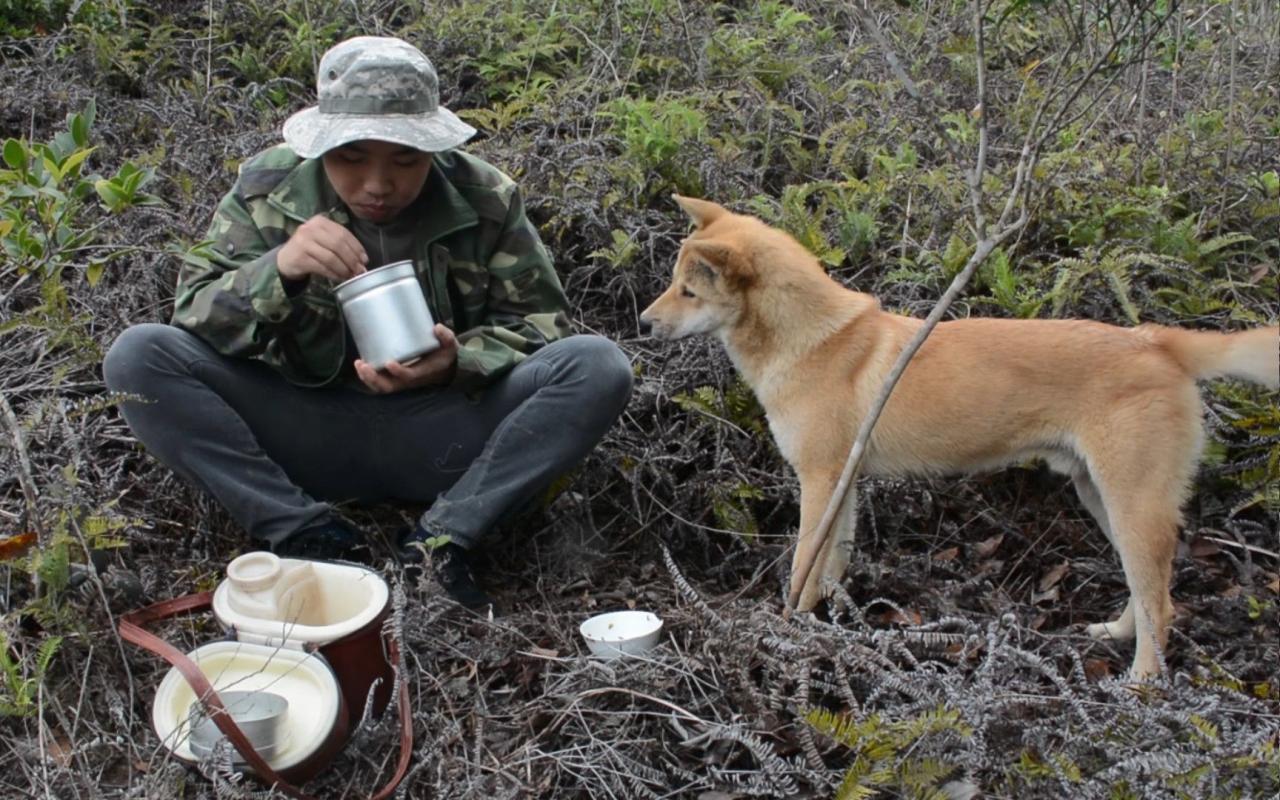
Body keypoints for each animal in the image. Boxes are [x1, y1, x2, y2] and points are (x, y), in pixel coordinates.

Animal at [645, 193, 1280, 675]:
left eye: (689, 291)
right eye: (674, 284)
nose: (644, 323)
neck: (816, 341)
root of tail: (1156, 341)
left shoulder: (820, 482)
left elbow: (803, 568)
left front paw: (791, 629)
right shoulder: (842, 487)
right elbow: (830, 567)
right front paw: (822, 625)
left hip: (1133, 501)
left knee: (1162, 605)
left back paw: (1142, 685)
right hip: (1102, 497)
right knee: (1148, 590)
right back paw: (1115, 634)